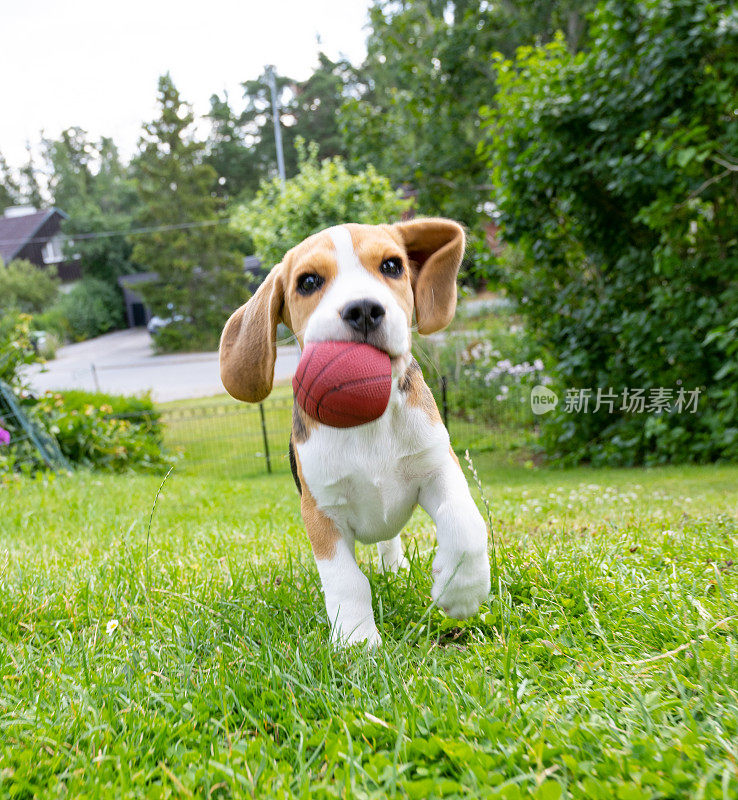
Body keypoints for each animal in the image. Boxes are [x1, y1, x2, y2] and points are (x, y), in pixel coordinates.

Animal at [221, 217, 492, 644]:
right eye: (308, 282)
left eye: (393, 266)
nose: (363, 308)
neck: (367, 421)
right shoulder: (321, 512)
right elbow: (346, 580)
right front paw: (356, 639)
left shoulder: (437, 467)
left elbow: (464, 522)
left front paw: (462, 590)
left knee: (391, 541)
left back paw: (396, 569)